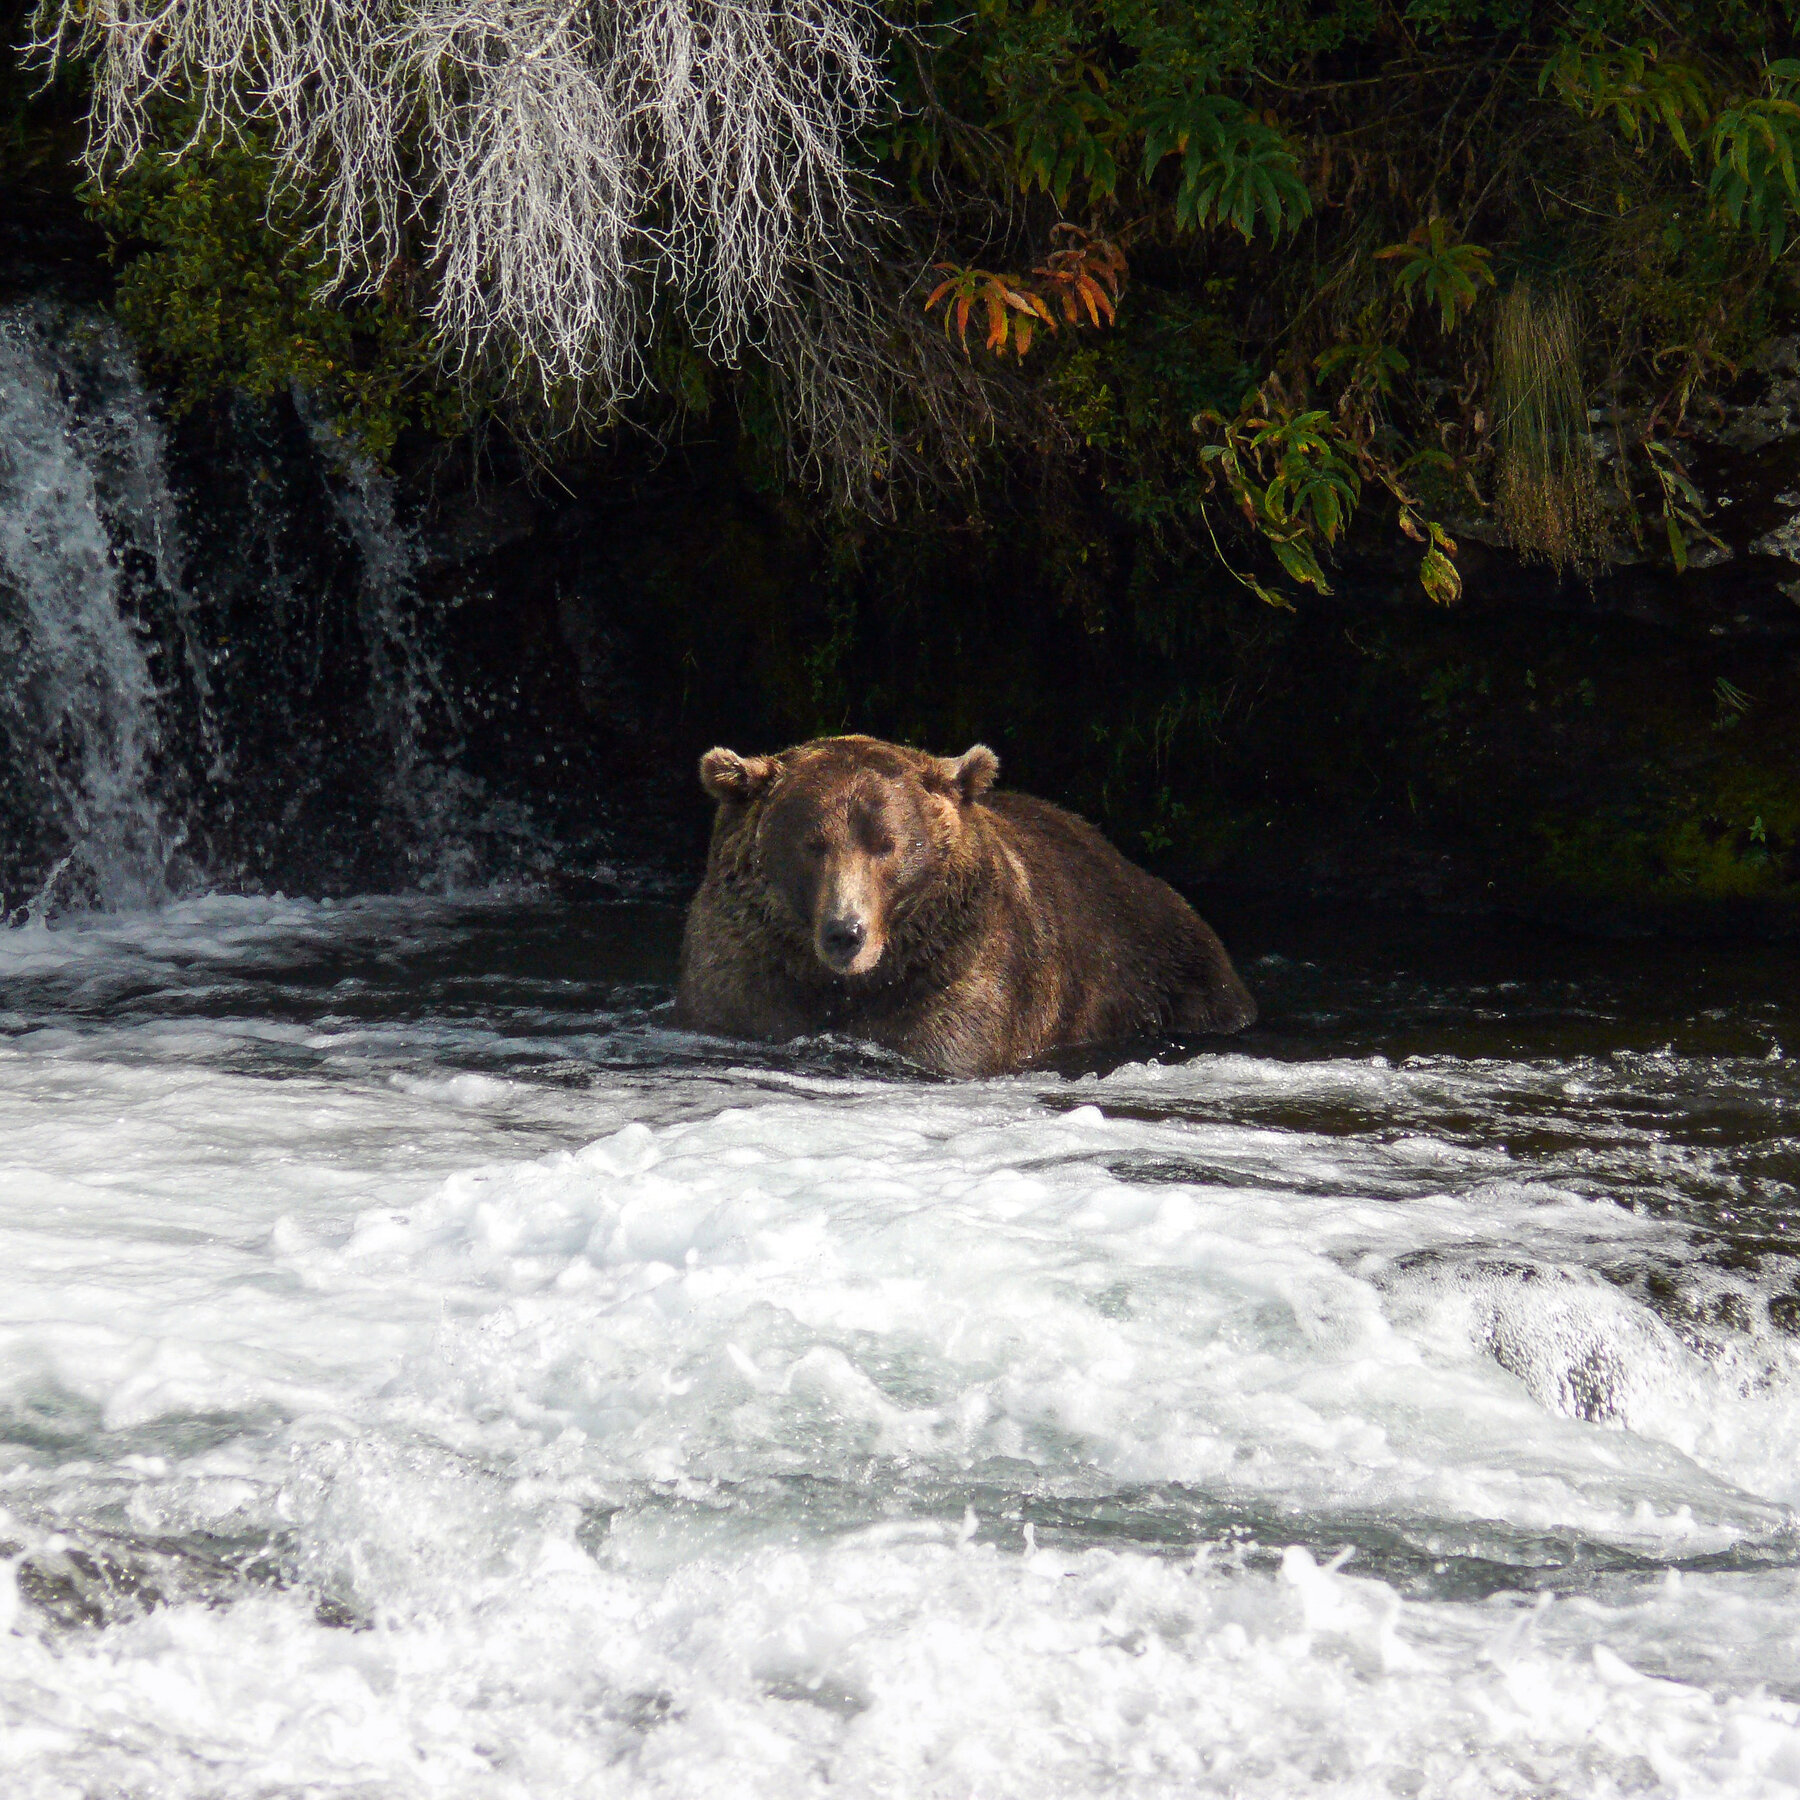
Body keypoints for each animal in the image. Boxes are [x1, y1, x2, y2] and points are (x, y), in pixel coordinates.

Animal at [673, 734, 1252, 1072]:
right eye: (812, 844)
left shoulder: (967, 961)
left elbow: (949, 1039)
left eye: (886, 843)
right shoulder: (744, 971)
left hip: (1163, 971)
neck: (846, 985)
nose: (846, 933)